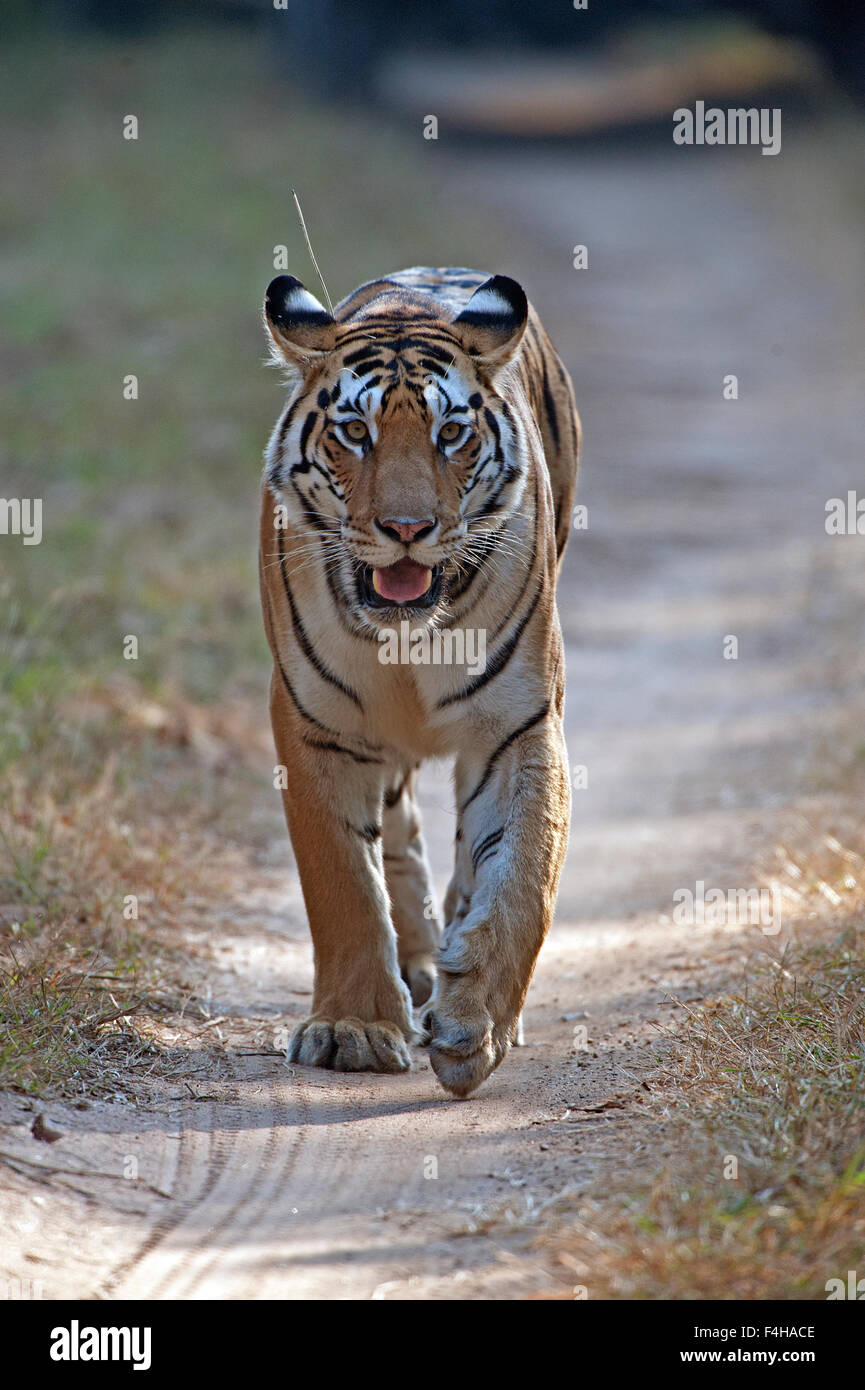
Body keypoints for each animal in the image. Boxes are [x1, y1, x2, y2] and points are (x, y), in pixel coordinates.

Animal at [258, 262, 584, 1095]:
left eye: (450, 435)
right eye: (354, 433)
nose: (406, 529)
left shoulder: (519, 725)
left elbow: (523, 875)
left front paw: (474, 1026)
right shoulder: (315, 723)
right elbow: (342, 879)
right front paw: (351, 1030)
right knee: (397, 833)